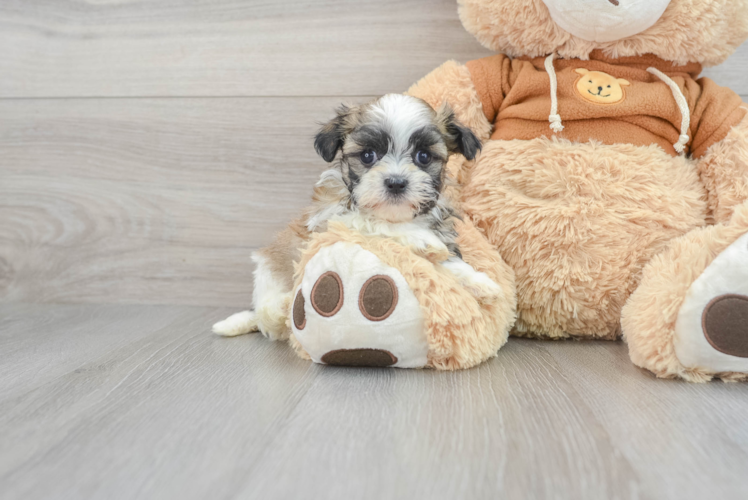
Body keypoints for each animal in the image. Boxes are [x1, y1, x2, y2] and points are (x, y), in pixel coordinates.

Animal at [213, 93, 500, 340]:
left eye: (424, 156)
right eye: (367, 155)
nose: (396, 182)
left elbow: (447, 264)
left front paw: (479, 281)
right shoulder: (332, 221)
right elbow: (373, 222)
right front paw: (421, 239)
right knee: (269, 316)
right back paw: (282, 304)